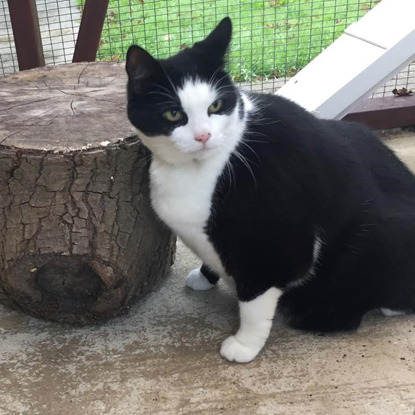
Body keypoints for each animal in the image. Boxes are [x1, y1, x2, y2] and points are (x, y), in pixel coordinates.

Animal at [126, 17, 415, 360]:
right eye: (173, 113)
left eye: (216, 105)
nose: (203, 136)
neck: (196, 170)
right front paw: (205, 275)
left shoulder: (278, 242)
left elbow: (255, 298)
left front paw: (244, 345)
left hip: (376, 236)